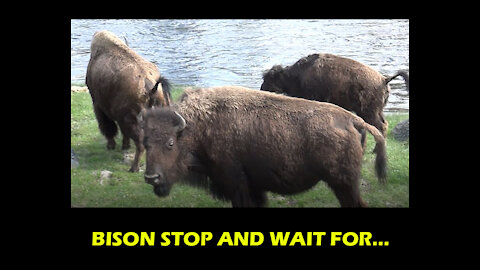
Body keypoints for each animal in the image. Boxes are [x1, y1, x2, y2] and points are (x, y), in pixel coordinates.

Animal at [86, 30, 171, 172]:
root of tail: (150, 87)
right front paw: (124, 146)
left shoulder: (98, 106)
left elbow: (108, 127)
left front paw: (111, 145)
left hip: (133, 121)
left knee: (141, 145)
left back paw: (133, 168)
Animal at [141, 85, 388, 208]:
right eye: (145, 143)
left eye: (170, 143)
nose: (151, 177)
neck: (199, 125)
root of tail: (352, 119)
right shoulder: (252, 188)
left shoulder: (236, 184)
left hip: (343, 184)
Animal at [258, 53, 408, 137]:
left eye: (269, 79)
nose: (261, 88)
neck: (297, 75)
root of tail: (384, 79)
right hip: (376, 111)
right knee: (384, 124)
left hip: (369, 112)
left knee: (380, 127)